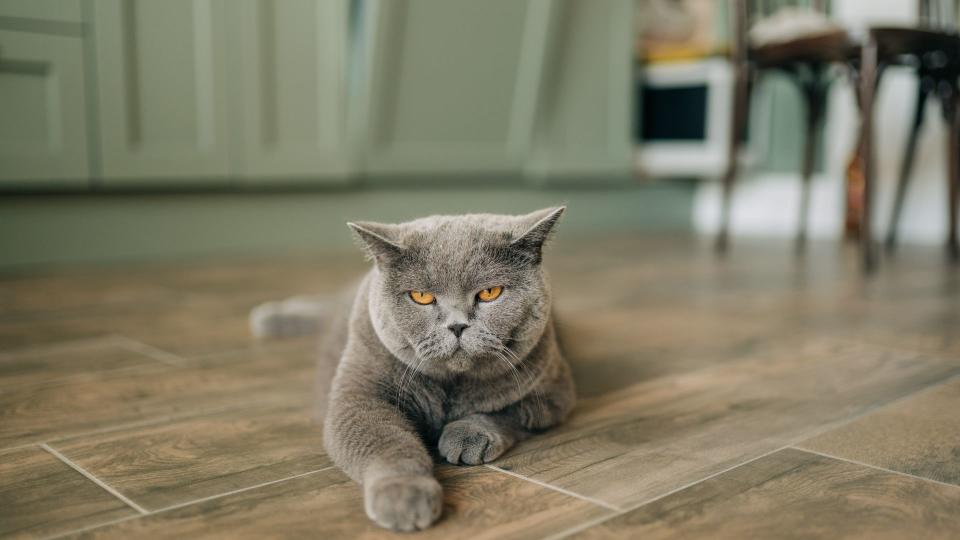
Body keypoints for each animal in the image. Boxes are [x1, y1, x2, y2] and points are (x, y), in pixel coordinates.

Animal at [251, 208, 572, 532]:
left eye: (490, 292)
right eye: (421, 297)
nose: (457, 326)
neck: (450, 387)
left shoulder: (554, 392)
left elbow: (509, 411)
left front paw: (467, 436)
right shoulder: (359, 399)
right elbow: (387, 443)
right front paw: (404, 495)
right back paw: (270, 316)